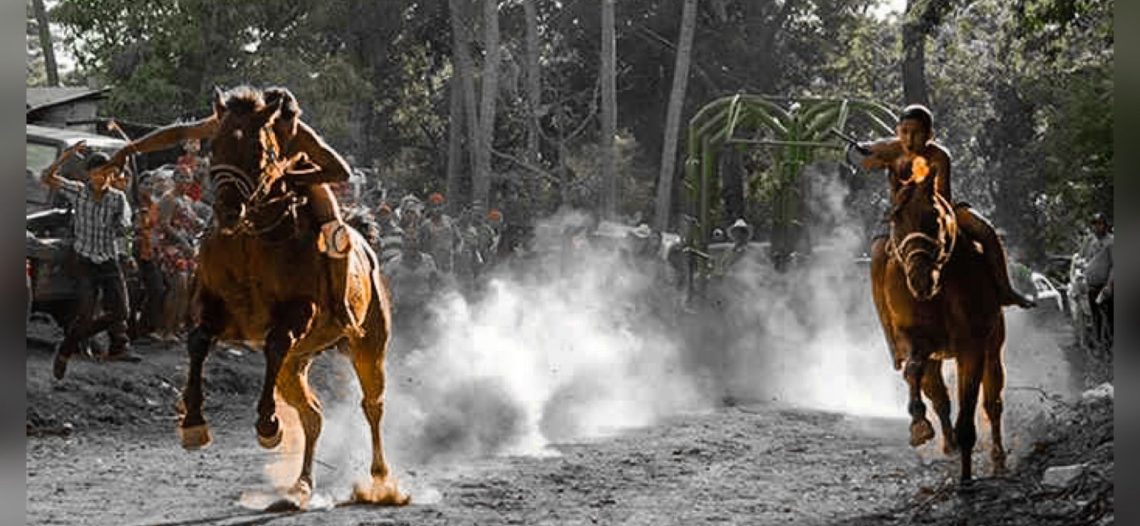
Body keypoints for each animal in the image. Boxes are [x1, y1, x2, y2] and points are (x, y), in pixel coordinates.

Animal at [176, 86, 408, 509]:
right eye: (213, 145)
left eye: (258, 149)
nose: (226, 210)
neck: (253, 238)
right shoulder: (215, 307)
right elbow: (198, 341)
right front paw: (193, 423)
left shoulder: (299, 312)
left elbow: (274, 342)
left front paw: (268, 424)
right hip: (296, 364)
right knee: (312, 415)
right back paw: (300, 486)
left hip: (369, 343)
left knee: (372, 405)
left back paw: (381, 481)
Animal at [869, 158, 1008, 483]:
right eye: (895, 219)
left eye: (934, 218)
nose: (919, 278)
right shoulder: (915, 340)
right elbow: (914, 372)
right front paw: (919, 425)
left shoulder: (972, 347)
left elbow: (970, 407)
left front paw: (967, 478)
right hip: (935, 356)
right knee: (939, 396)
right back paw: (949, 444)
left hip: (993, 346)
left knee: (992, 403)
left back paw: (997, 458)